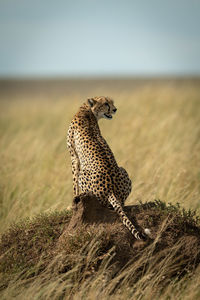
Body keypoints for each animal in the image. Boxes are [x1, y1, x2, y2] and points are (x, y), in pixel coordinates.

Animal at [67, 97, 147, 240]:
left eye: (111, 103)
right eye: (106, 104)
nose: (115, 109)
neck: (87, 110)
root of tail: (111, 190)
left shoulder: (74, 157)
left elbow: (74, 183)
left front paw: (73, 203)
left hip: (84, 173)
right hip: (123, 170)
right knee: (120, 203)